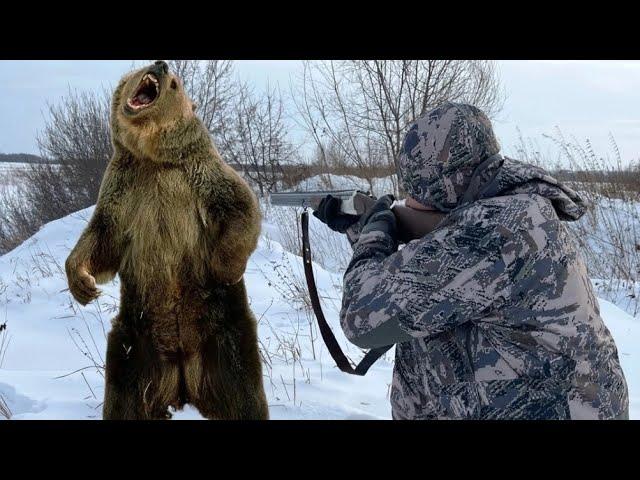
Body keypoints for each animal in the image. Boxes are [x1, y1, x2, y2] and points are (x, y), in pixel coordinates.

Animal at [67, 61, 270, 420]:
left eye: (175, 83)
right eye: (139, 68)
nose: (160, 65)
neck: (154, 158)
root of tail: (183, 378)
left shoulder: (201, 173)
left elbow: (240, 205)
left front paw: (224, 267)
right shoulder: (122, 186)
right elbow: (102, 237)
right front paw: (82, 284)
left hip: (226, 339)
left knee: (244, 395)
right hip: (134, 347)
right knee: (124, 397)